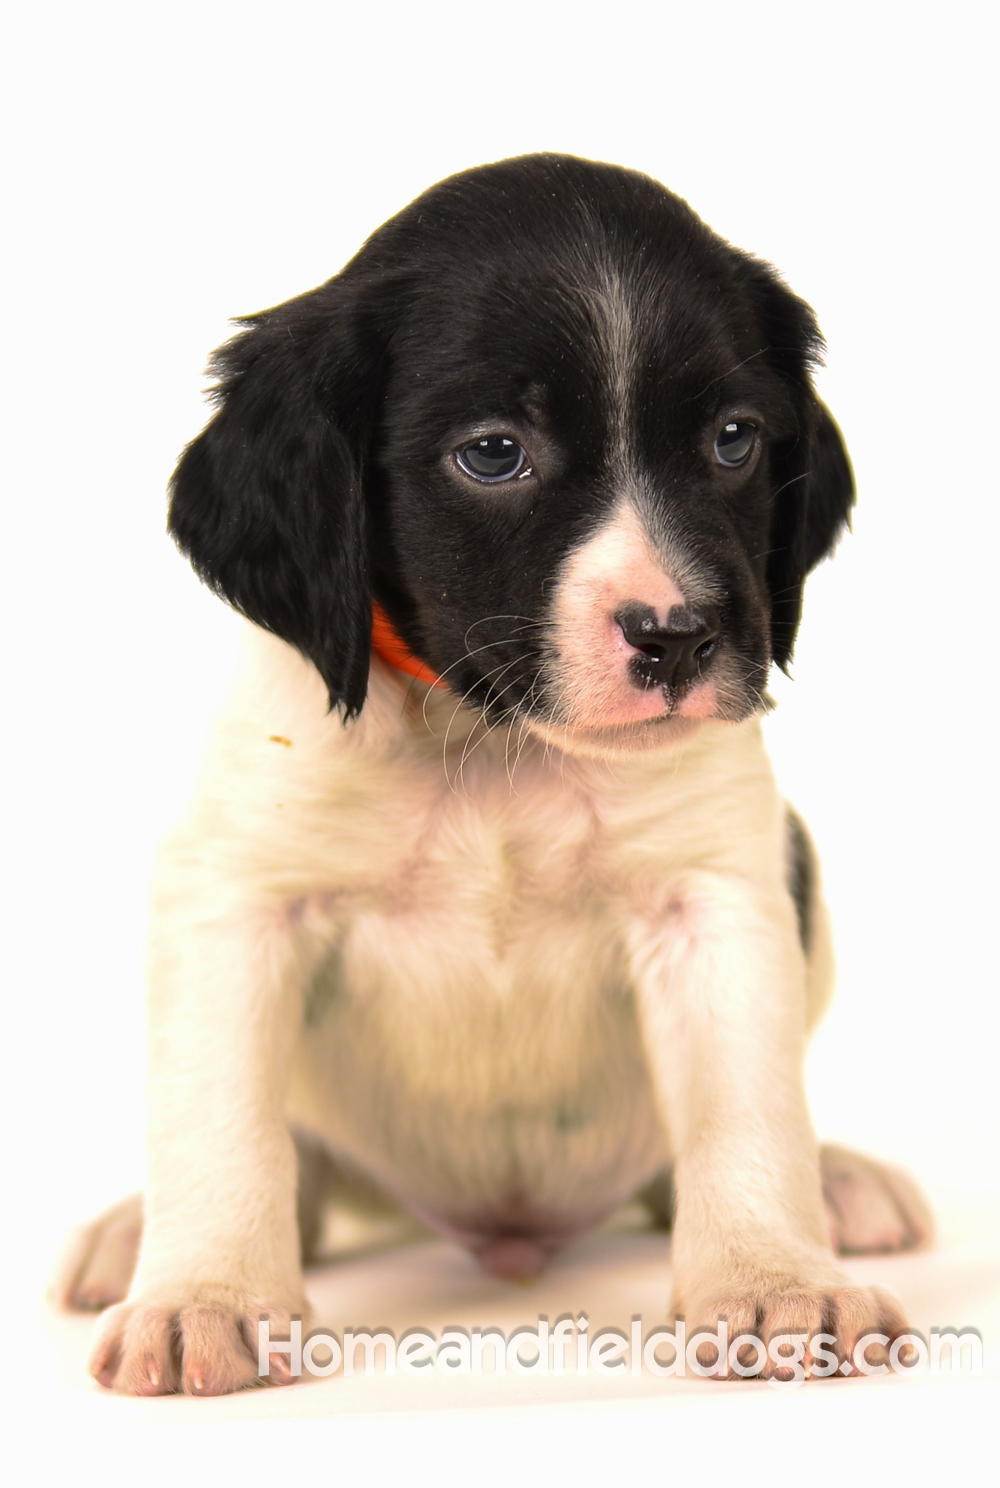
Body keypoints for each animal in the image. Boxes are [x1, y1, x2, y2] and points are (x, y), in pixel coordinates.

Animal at [54, 156, 928, 1386]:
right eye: (493, 453)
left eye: (734, 439)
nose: (677, 636)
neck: (496, 749)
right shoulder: (237, 901)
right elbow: (221, 1118)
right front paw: (203, 1294)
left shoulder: (715, 902)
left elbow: (746, 1107)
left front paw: (774, 1278)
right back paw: (135, 1236)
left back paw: (840, 1183)